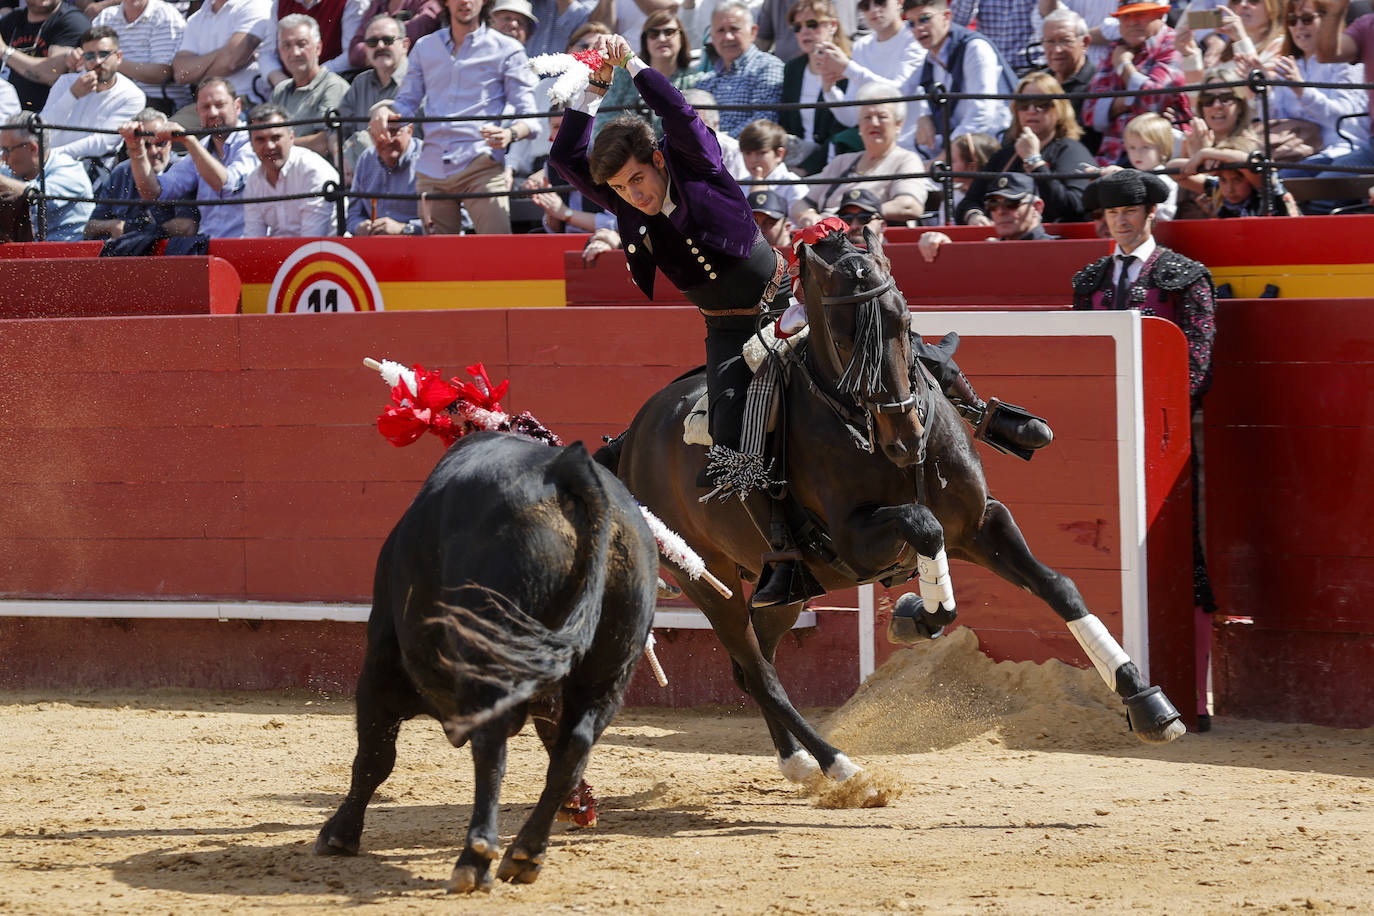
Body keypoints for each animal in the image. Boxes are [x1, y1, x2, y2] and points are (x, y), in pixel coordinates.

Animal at [322, 433, 665, 889]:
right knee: (574, 747)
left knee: (491, 749)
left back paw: (475, 858)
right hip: (610, 667)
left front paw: (339, 834)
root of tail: (569, 468)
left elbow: (374, 756)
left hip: (491, 659)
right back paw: (526, 854)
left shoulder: (381, 664)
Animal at [607, 227, 1187, 780]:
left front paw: (1147, 702)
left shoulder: (979, 522)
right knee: (758, 671)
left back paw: (797, 762)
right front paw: (915, 616)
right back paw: (838, 767)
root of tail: (632, 435)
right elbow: (924, 529)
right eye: (844, 337)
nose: (905, 438)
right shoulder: (855, 544)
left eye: (906, 323)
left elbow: (1058, 586)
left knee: (752, 664)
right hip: (708, 580)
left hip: (788, 592)